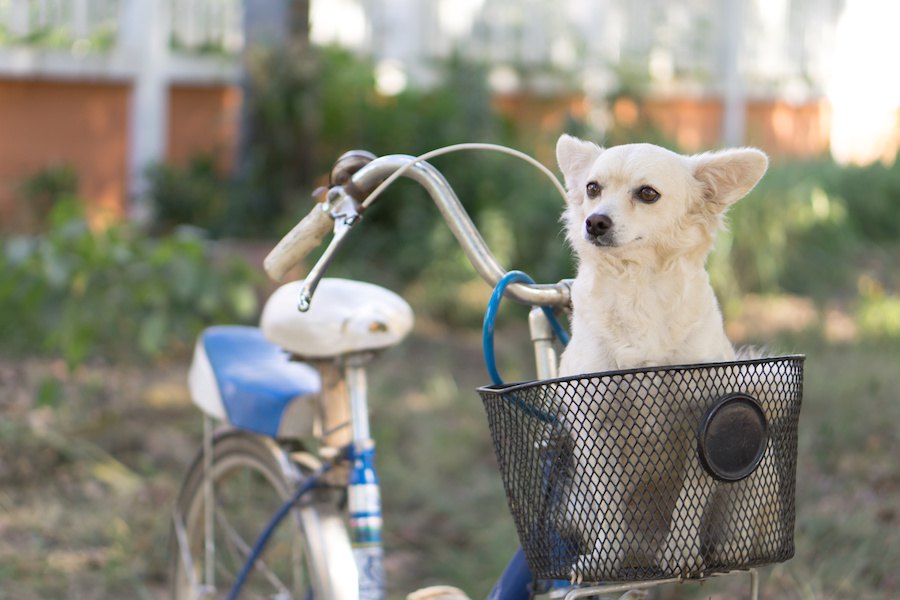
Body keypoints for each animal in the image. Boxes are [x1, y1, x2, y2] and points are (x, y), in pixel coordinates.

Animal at [552, 134, 768, 580]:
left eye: (647, 194)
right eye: (592, 189)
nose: (594, 221)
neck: (637, 286)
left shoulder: (708, 423)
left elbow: (691, 496)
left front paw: (681, 553)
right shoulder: (592, 424)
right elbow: (609, 505)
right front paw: (604, 559)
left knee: (738, 530)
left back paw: (727, 550)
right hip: (575, 500)